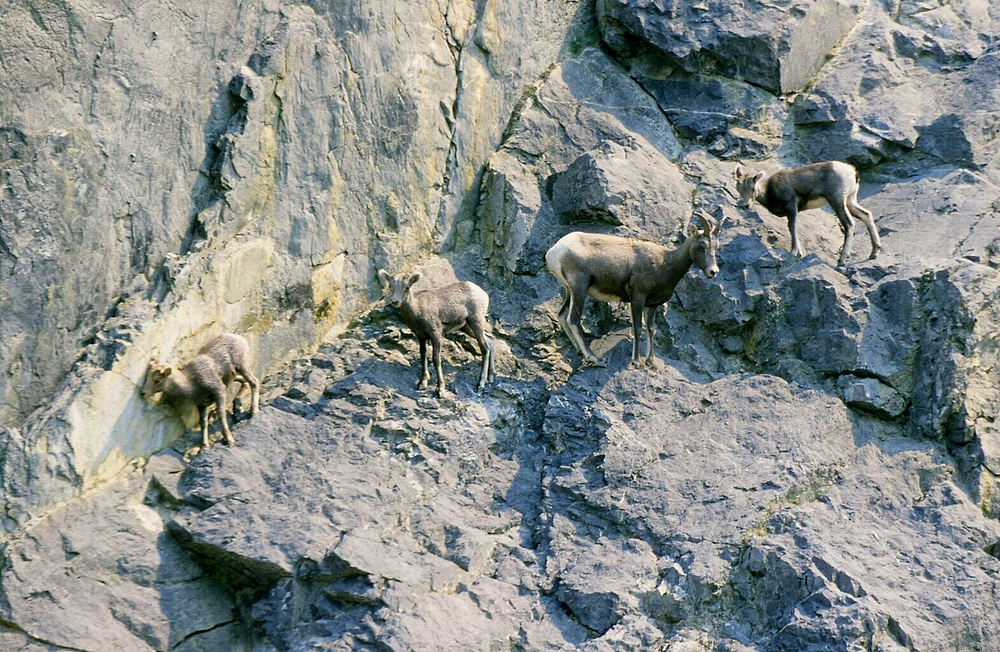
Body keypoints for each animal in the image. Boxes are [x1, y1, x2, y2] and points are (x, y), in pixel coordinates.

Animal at [378, 270, 496, 398]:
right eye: (390, 286)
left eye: (407, 287)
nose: (395, 301)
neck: (417, 311)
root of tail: (484, 294)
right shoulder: (421, 336)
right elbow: (423, 355)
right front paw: (422, 383)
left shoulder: (436, 334)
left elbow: (436, 359)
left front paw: (440, 389)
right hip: (466, 326)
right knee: (490, 339)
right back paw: (491, 376)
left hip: (476, 322)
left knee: (485, 348)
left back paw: (481, 383)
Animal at [548, 214, 720, 366]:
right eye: (701, 246)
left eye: (716, 247)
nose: (713, 271)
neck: (665, 263)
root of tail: (554, 251)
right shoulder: (637, 298)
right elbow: (637, 328)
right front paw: (636, 361)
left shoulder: (651, 305)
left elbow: (651, 329)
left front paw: (650, 361)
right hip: (579, 289)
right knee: (573, 320)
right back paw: (595, 359)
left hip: (570, 291)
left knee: (562, 315)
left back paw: (579, 351)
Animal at [732, 160, 880, 268]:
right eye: (739, 189)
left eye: (752, 188)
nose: (746, 206)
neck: (769, 191)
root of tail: (852, 171)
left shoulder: (792, 205)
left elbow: (792, 226)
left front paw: (794, 252)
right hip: (850, 201)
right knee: (866, 214)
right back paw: (874, 253)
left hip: (837, 201)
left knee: (849, 223)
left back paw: (841, 261)